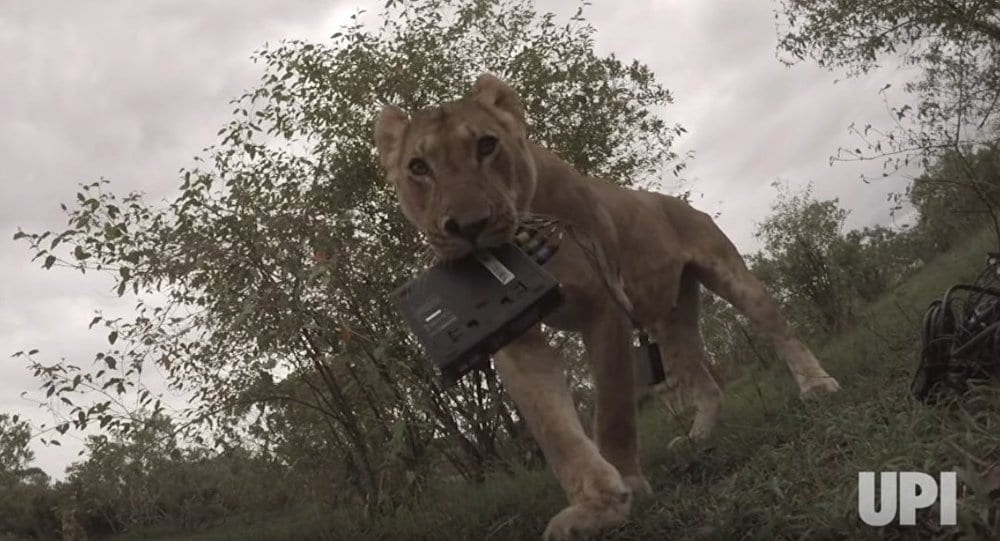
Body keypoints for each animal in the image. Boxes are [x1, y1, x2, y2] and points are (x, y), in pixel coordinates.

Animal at [372, 74, 840, 536]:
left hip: (730, 276)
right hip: (668, 324)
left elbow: (613, 408)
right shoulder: (515, 337)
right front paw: (596, 505)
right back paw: (698, 437)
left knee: (779, 329)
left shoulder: (605, 305)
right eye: (418, 167)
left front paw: (627, 489)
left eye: (486, 145)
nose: (469, 226)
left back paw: (817, 386)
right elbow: (555, 429)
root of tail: (677, 202)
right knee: (704, 380)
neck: (527, 233)